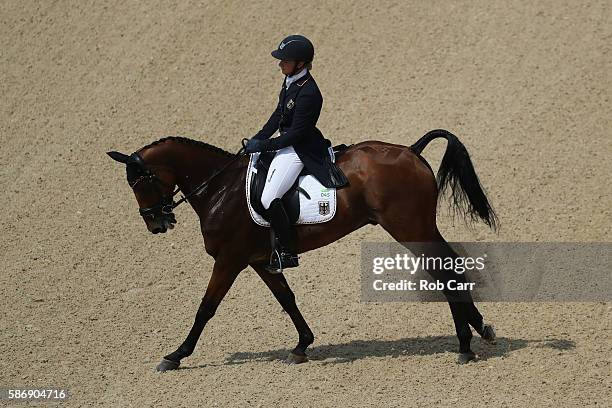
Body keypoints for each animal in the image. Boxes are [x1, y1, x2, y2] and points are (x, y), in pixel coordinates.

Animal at [106, 129, 498, 372]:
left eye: (139, 182)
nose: (156, 224)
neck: (220, 188)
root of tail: (411, 151)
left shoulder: (229, 260)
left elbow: (206, 308)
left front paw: (176, 355)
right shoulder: (260, 261)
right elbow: (287, 299)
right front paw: (301, 346)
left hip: (410, 229)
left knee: (445, 270)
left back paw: (465, 344)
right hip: (418, 228)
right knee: (451, 267)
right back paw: (480, 331)